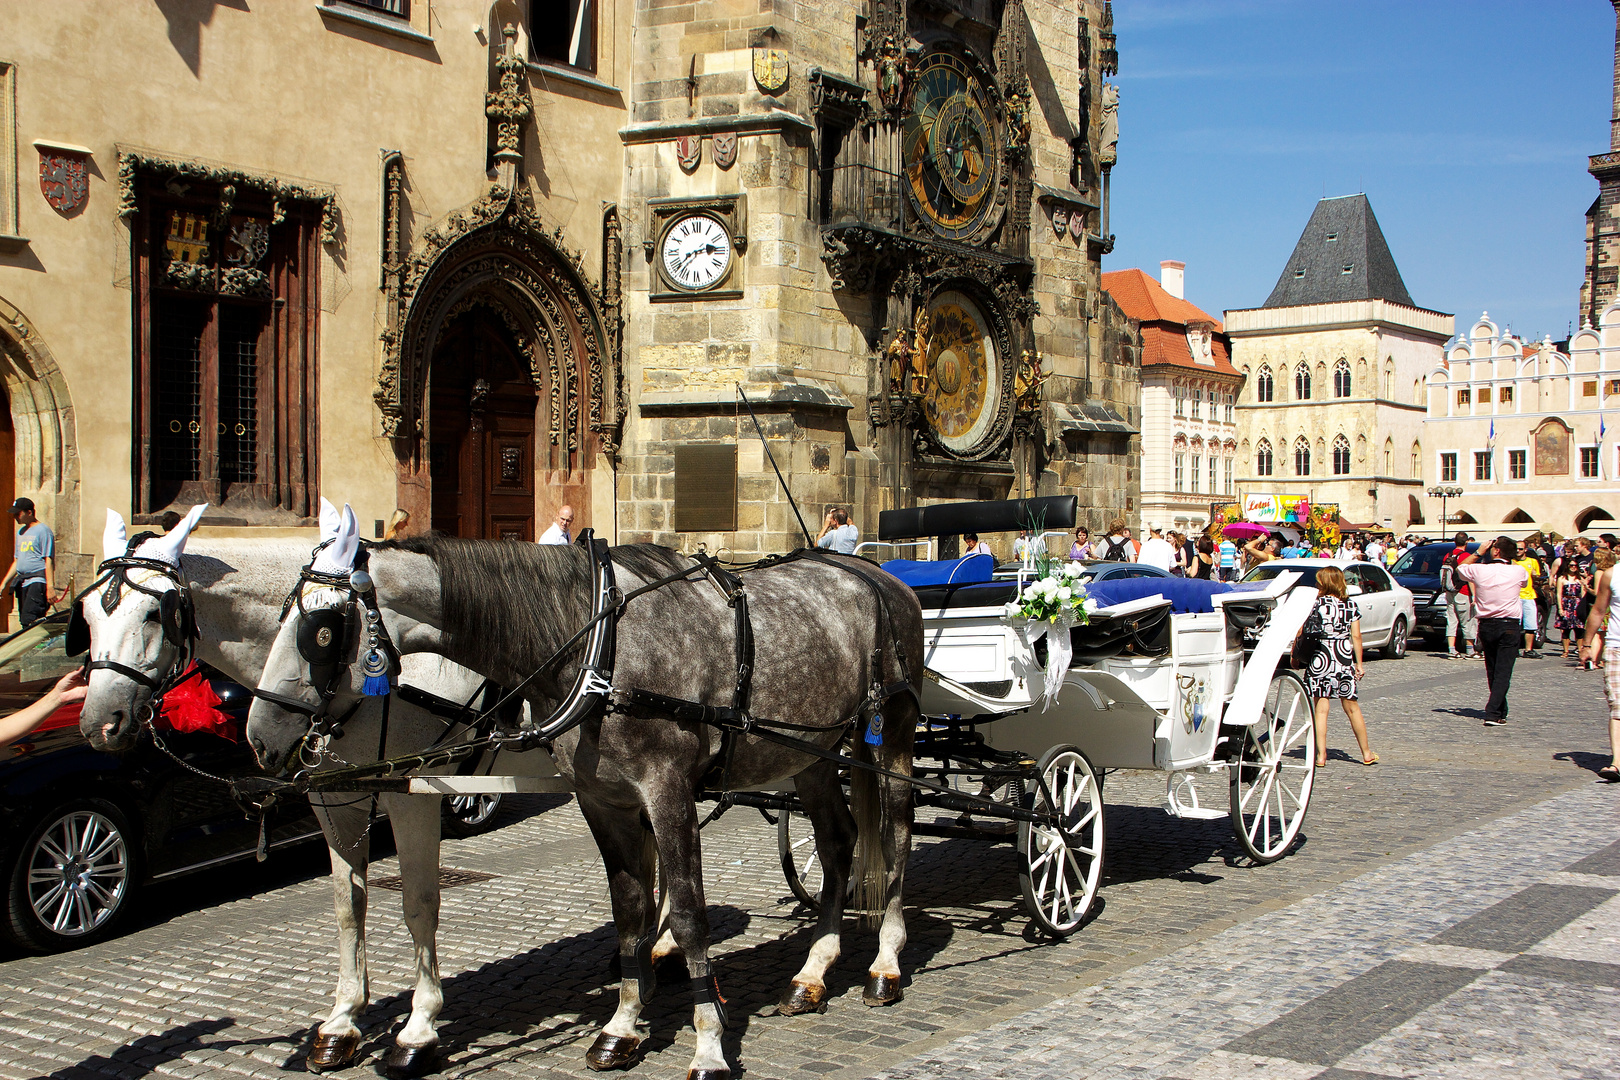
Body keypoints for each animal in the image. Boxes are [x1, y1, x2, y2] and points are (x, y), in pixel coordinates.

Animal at [78, 501, 528, 1075]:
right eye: (86, 614)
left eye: (154, 615)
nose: (99, 724)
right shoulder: (333, 798)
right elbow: (347, 904)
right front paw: (342, 1020)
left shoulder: (411, 796)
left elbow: (419, 902)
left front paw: (420, 1026)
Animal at [244, 531, 920, 1080]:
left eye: (321, 633)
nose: (259, 736)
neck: (596, 645)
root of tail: (877, 574)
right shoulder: (603, 802)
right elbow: (629, 913)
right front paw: (622, 1028)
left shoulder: (669, 793)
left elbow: (688, 916)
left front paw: (707, 1047)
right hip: (812, 753)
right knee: (836, 841)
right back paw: (813, 972)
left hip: (890, 738)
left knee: (895, 833)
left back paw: (885, 963)